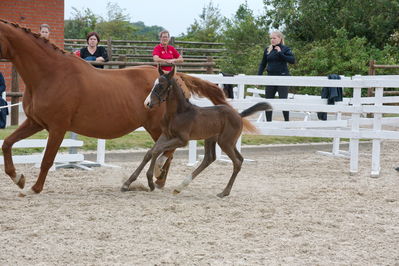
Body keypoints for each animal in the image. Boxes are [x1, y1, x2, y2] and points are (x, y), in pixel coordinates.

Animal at [0, 19, 231, 194]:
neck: (50, 74)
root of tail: (175, 76)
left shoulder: (58, 127)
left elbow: (47, 159)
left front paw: (34, 188)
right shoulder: (35, 122)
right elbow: (7, 144)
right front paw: (18, 178)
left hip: (159, 128)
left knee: (167, 151)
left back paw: (155, 178)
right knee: (166, 151)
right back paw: (156, 180)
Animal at [121, 66, 272, 197]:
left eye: (161, 86)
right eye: (154, 84)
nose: (147, 103)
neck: (177, 113)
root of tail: (239, 115)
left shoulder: (182, 140)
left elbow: (157, 150)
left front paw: (151, 180)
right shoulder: (166, 135)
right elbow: (150, 152)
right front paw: (128, 183)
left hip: (225, 142)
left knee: (237, 162)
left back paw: (224, 192)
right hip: (214, 139)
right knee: (212, 158)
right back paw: (180, 187)